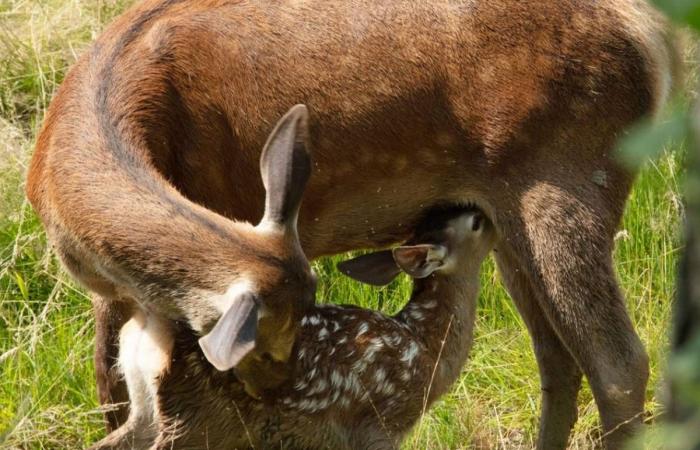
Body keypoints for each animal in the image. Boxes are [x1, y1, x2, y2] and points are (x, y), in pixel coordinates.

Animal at [93, 207, 494, 450]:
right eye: (475, 224)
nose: (487, 214)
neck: (427, 346)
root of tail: (152, 328)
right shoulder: (379, 424)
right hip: (196, 417)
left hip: (148, 406)